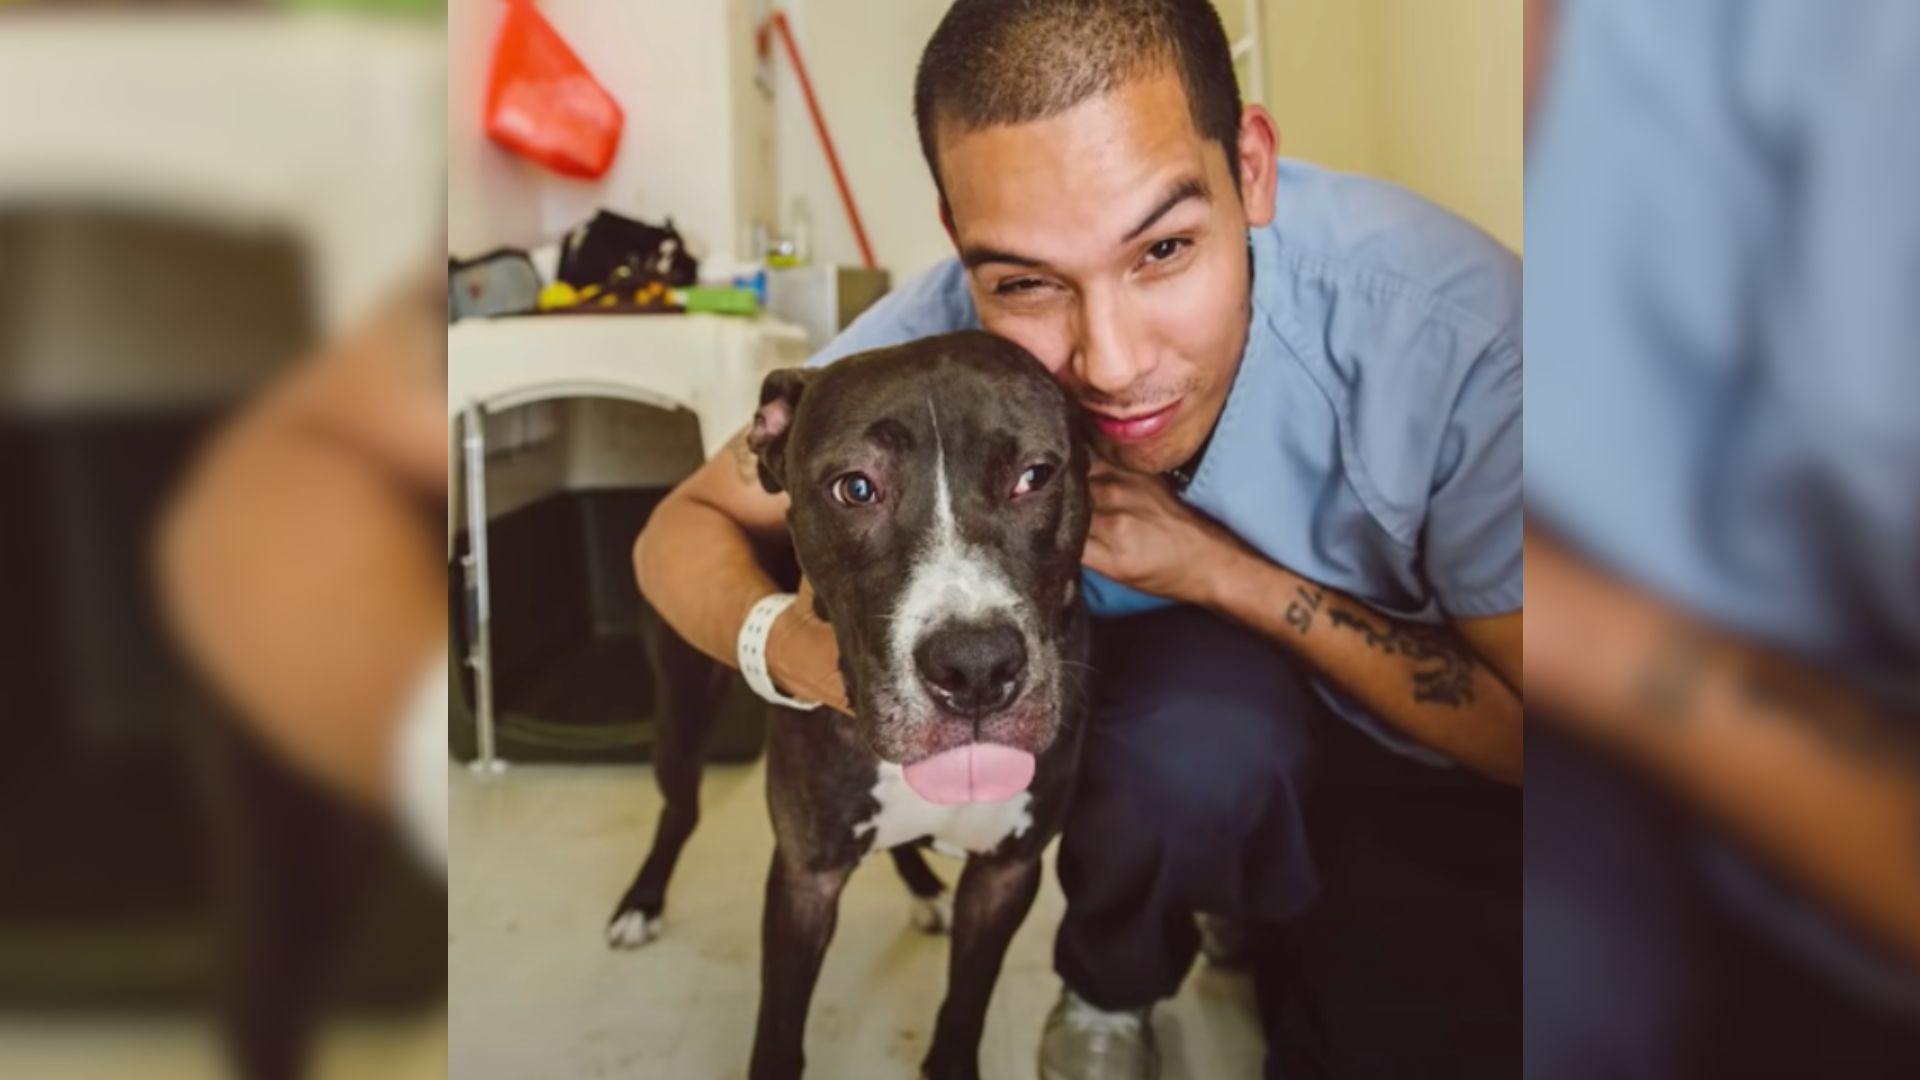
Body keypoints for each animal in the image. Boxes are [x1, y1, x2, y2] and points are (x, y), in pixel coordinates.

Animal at [614, 332, 1098, 1068]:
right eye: (856, 487)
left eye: (1035, 475)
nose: (976, 666)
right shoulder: (804, 879)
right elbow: (779, 1032)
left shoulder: (1007, 874)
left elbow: (966, 1006)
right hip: (679, 713)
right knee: (679, 810)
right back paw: (641, 901)